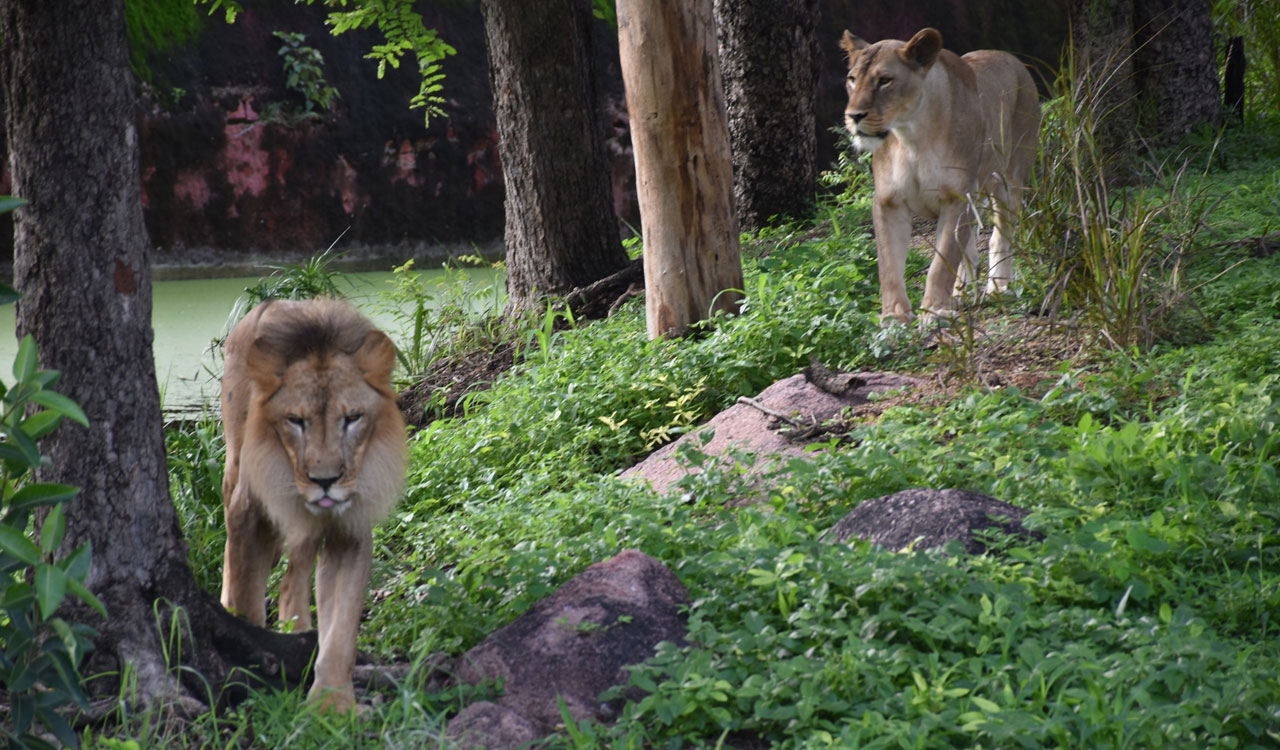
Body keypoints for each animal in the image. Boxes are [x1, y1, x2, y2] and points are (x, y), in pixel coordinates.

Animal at [219, 297, 407, 712]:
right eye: (295, 420)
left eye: (352, 418)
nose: (325, 480)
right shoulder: (250, 513)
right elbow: (247, 596)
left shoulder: (349, 532)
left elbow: (342, 630)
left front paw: (333, 706)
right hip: (235, 466)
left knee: (293, 582)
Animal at [839, 27, 1039, 324]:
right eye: (852, 79)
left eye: (884, 81)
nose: (853, 116)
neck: (911, 138)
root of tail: (1011, 59)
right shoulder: (888, 201)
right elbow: (889, 266)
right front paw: (894, 316)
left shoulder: (958, 197)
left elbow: (942, 262)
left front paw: (935, 311)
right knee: (969, 245)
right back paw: (961, 293)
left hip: (1009, 179)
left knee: (1000, 236)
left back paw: (999, 288)